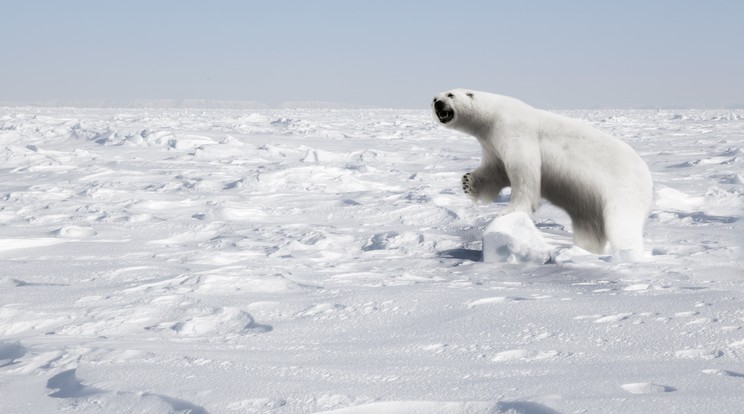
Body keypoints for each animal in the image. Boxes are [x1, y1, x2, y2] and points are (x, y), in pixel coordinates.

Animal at [434, 89, 652, 260]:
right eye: (435, 96)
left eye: (450, 94)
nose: (437, 102)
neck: (493, 115)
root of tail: (648, 176)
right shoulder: (492, 144)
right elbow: (494, 171)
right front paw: (467, 182)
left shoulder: (515, 131)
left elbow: (523, 171)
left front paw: (509, 210)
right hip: (590, 200)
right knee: (589, 225)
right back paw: (584, 250)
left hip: (622, 185)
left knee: (622, 222)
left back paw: (627, 254)